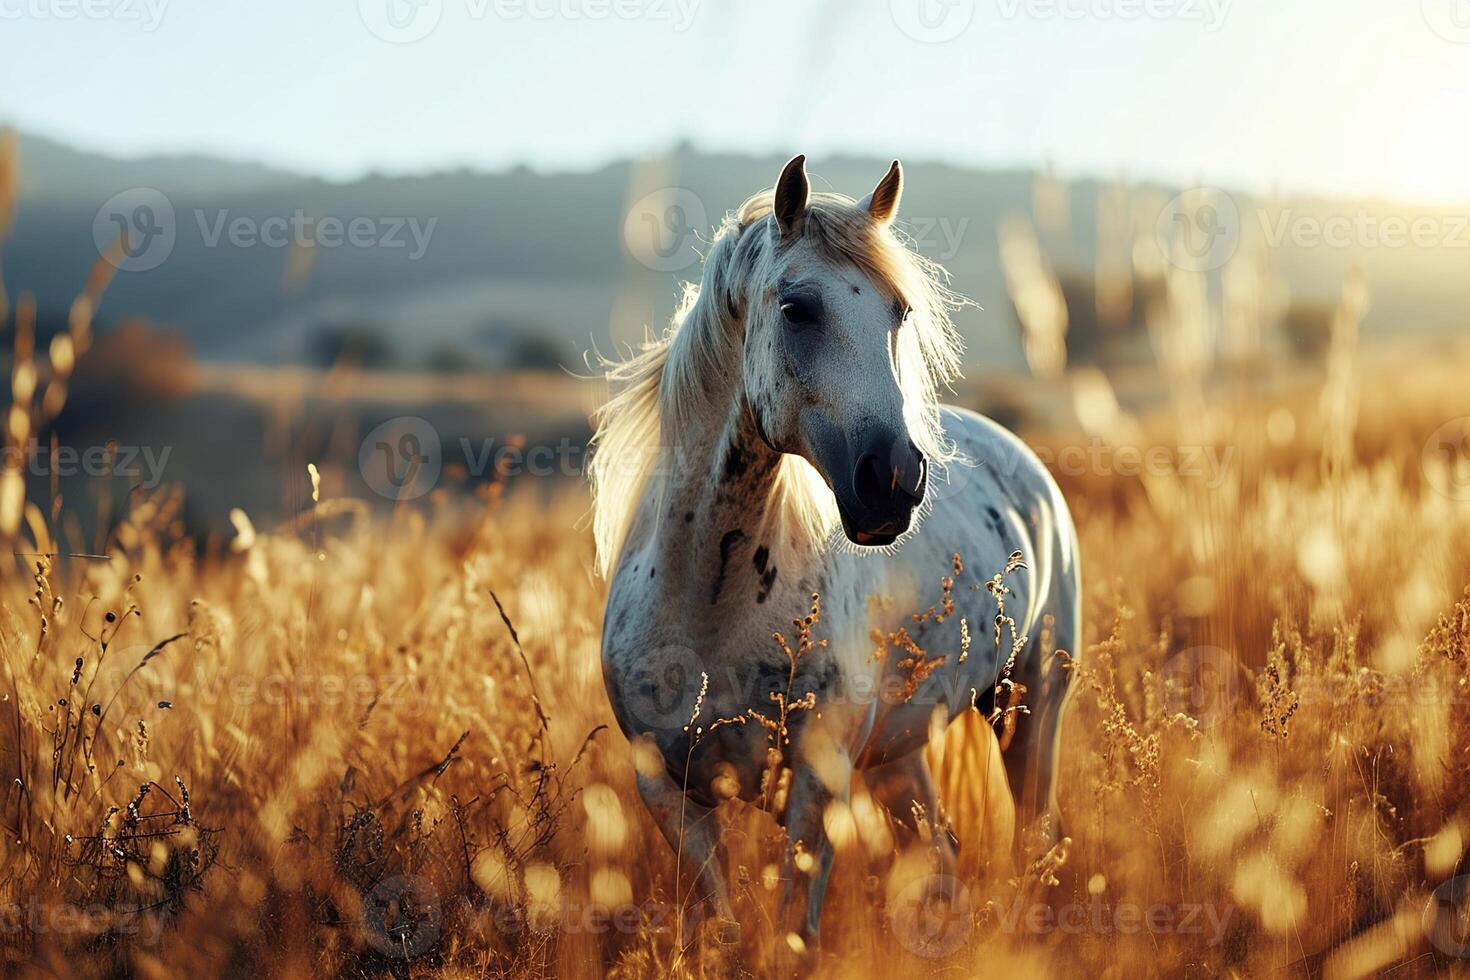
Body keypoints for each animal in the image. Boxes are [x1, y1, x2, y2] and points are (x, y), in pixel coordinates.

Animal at [585, 155, 1081, 952]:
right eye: (797, 309)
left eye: (899, 312)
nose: (894, 479)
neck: (705, 606)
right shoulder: (669, 796)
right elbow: (728, 933)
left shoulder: (816, 785)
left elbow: (796, 937)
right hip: (901, 753)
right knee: (940, 854)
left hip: (1028, 704)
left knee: (1036, 832)